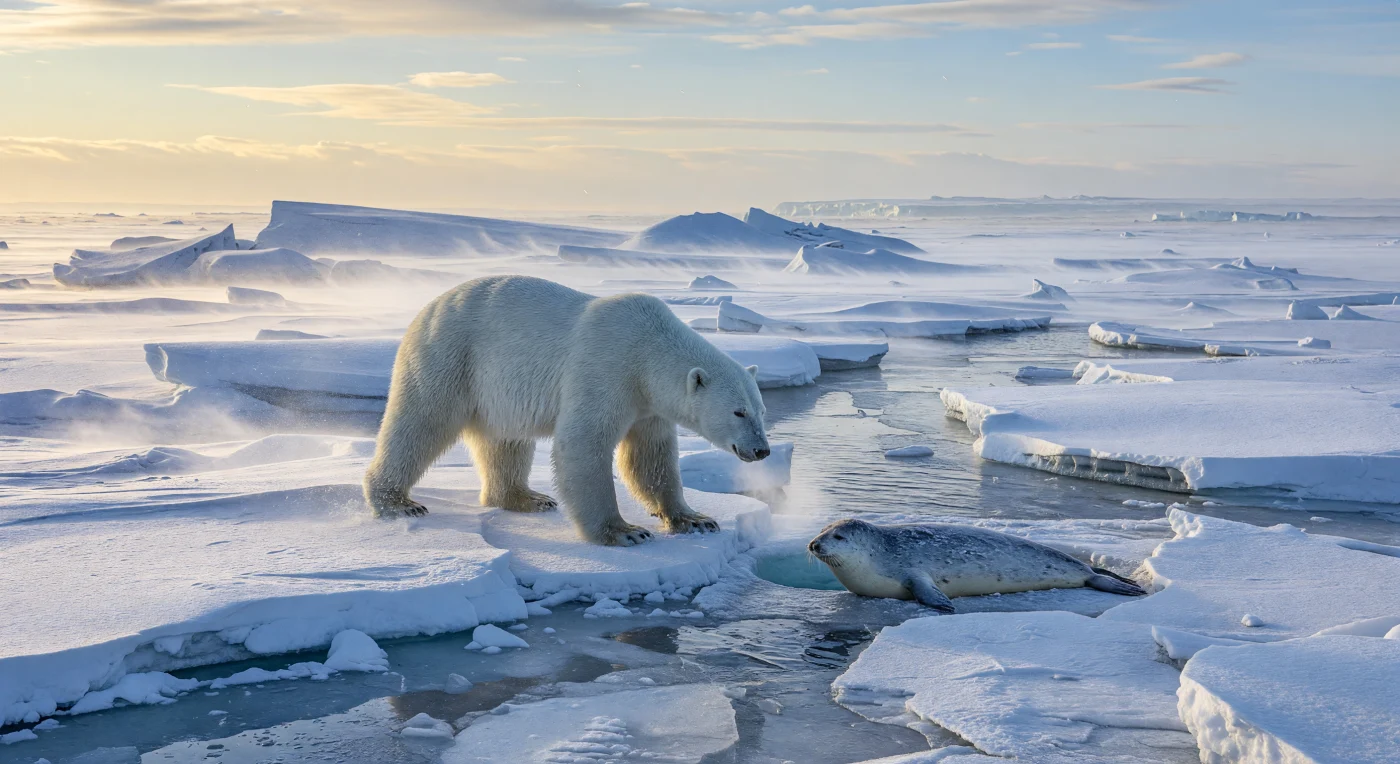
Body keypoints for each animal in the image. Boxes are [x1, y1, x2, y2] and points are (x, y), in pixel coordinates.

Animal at [363, 275, 772, 546]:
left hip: (493, 386)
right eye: (739, 412)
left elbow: (651, 458)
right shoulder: (606, 369)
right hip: (451, 355)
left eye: (761, 410)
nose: (762, 450)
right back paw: (397, 502)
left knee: (504, 440)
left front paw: (694, 519)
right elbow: (583, 444)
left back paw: (527, 498)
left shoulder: (648, 405)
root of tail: (427, 308)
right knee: (420, 422)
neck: (648, 349)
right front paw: (623, 531)